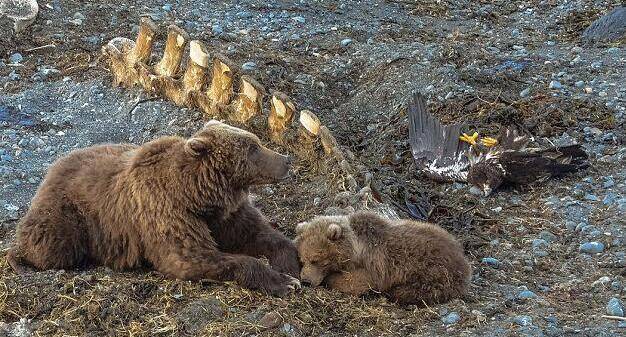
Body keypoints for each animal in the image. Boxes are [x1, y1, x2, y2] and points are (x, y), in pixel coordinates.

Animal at [7, 120, 300, 294]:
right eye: (252, 147)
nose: (286, 159)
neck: (198, 193)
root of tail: (49, 172)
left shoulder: (225, 214)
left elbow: (256, 232)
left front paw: (290, 268)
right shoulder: (166, 211)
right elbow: (191, 257)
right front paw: (284, 282)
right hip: (68, 215)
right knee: (51, 244)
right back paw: (22, 256)